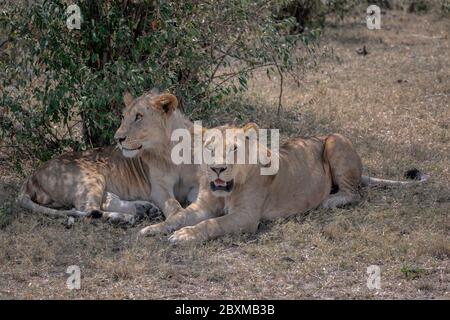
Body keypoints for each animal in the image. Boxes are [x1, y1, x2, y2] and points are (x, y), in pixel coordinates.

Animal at [16, 90, 199, 225]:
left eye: (138, 117)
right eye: (124, 117)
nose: (117, 138)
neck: (171, 151)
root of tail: (31, 177)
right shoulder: (159, 189)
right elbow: (173, 204)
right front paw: (181, 216)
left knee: (105, 201)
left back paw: (145, 209)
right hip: (91, 176)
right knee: (88, 210)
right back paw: (125, 217)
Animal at [142, 122, 428, 242]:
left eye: (234, 149)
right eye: (210, 149)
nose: (217, 169)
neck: (227, 191)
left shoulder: (247, 217)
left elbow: (212, 223)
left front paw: (185, 235)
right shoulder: (202, 205)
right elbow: (179, 215)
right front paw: (154, 228)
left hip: (335, 141)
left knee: (354, 193)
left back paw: (330, 200)